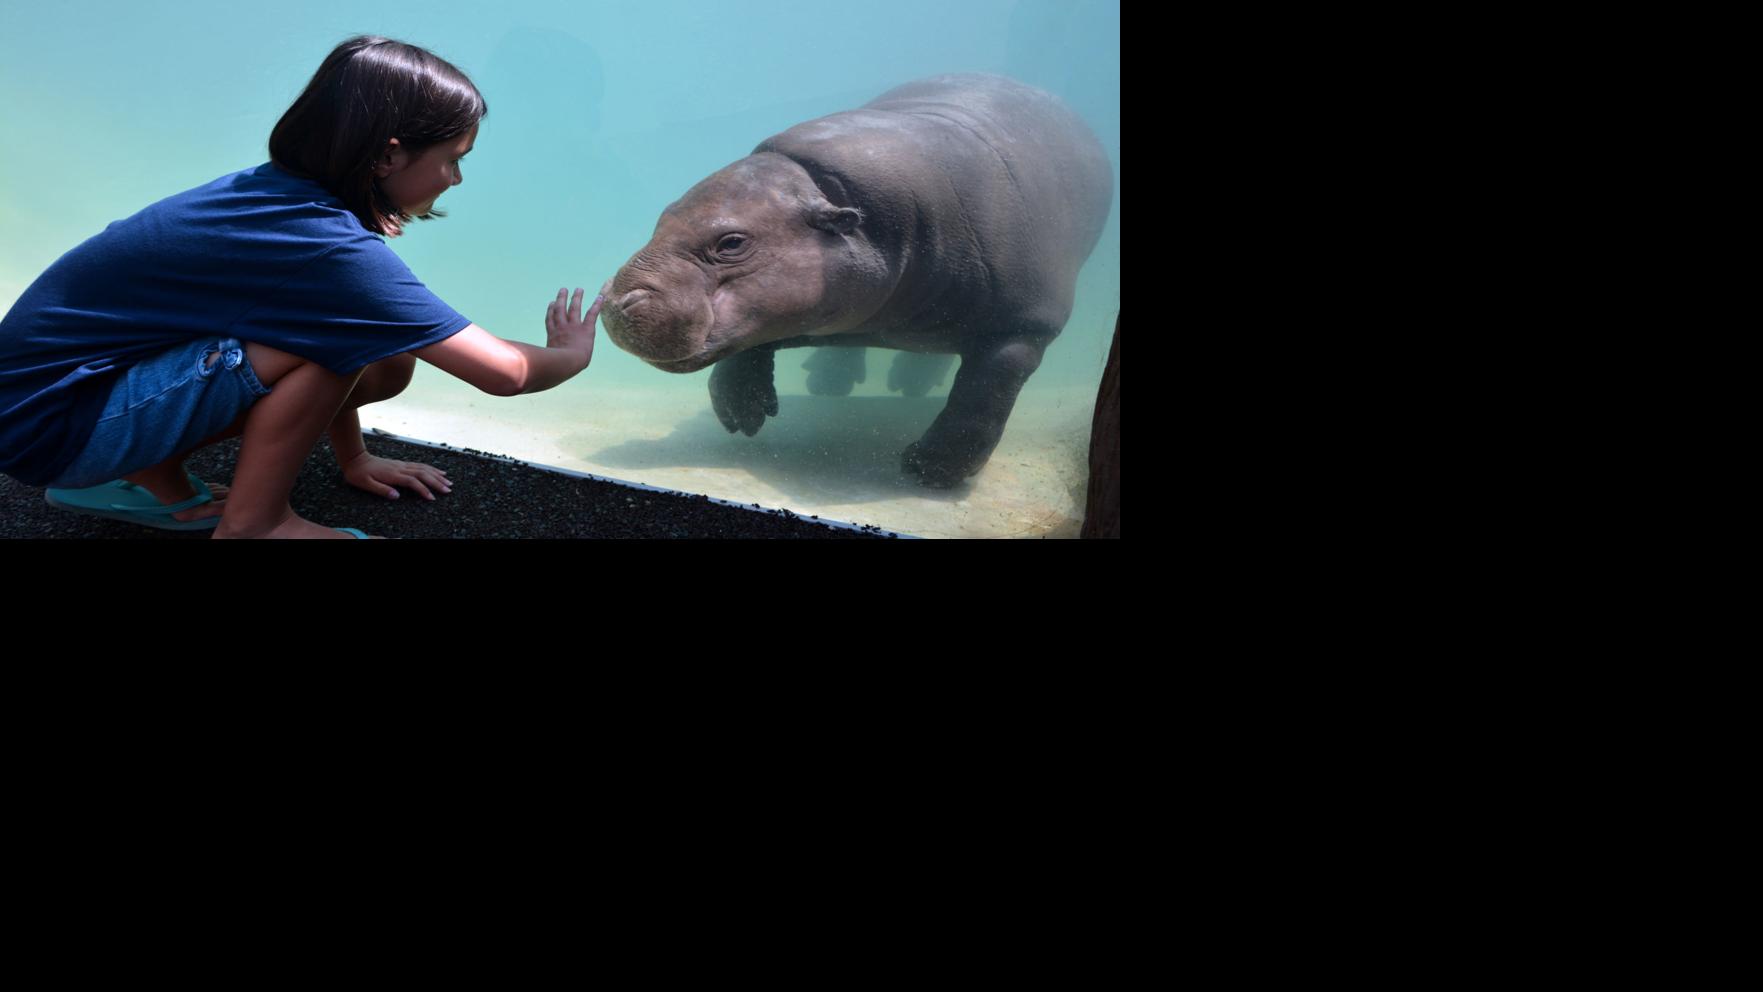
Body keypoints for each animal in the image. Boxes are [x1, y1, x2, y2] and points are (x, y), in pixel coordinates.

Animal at [600, 74, 1113, 487]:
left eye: (731, 242)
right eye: (664, 215)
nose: (615, 301)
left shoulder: (1023, 328)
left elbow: (982, 397)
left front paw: (928, 472)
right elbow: (749, 343)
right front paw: (741, 416)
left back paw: (908, 390)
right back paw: (829, 383)